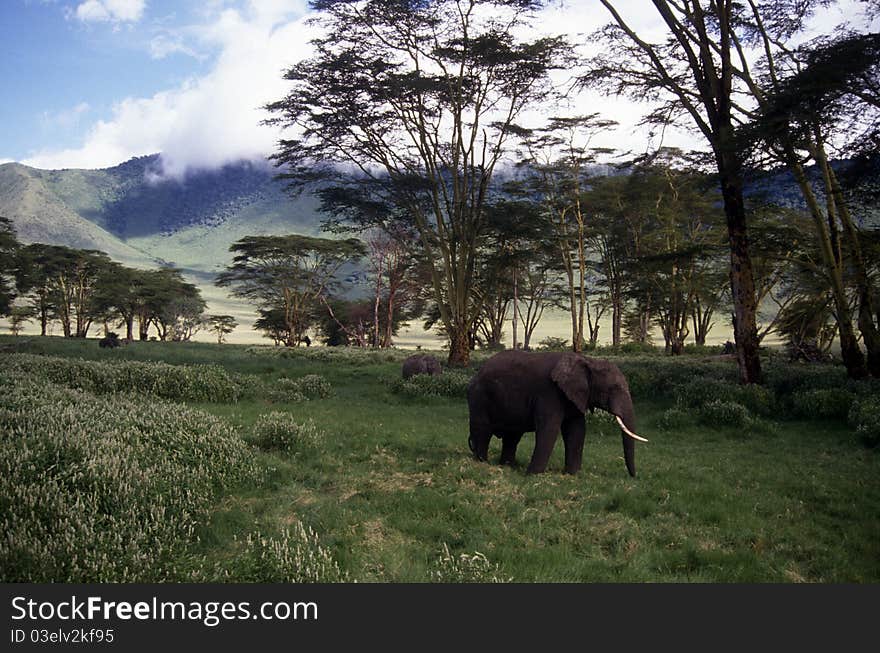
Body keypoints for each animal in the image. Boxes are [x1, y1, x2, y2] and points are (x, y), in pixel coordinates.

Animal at [468, 352, 648, 474]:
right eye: (613, 389)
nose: (634, 476)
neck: (588, 360)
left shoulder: (575, 396)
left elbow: (576, 431)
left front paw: (572, 474)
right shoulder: (549, 393)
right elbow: (549, 429)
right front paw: (532, 475)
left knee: (512, 436)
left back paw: (507, 466)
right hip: (479, 397)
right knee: (483, 430)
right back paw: (482, 463)